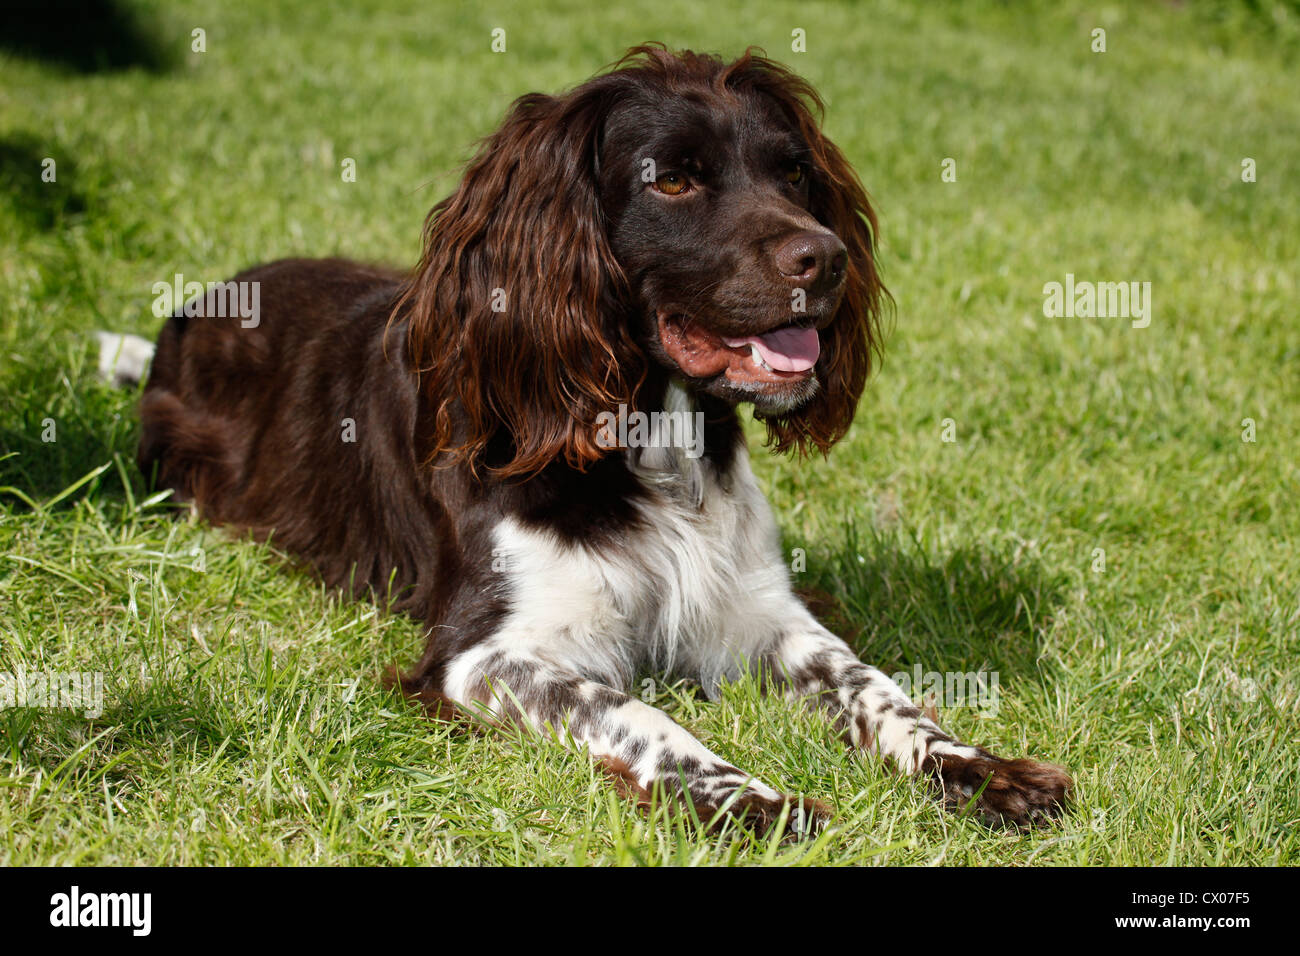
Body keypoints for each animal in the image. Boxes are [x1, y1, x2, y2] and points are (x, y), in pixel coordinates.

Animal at [114, 46, 1066, 837]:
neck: (653, 447)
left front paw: (981, 769)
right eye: (673, 182)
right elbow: (639, 713)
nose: (825, 259)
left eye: (794, 171)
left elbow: (875, 686)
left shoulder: (757, 611)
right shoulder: (485, 656)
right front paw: (748, 801)